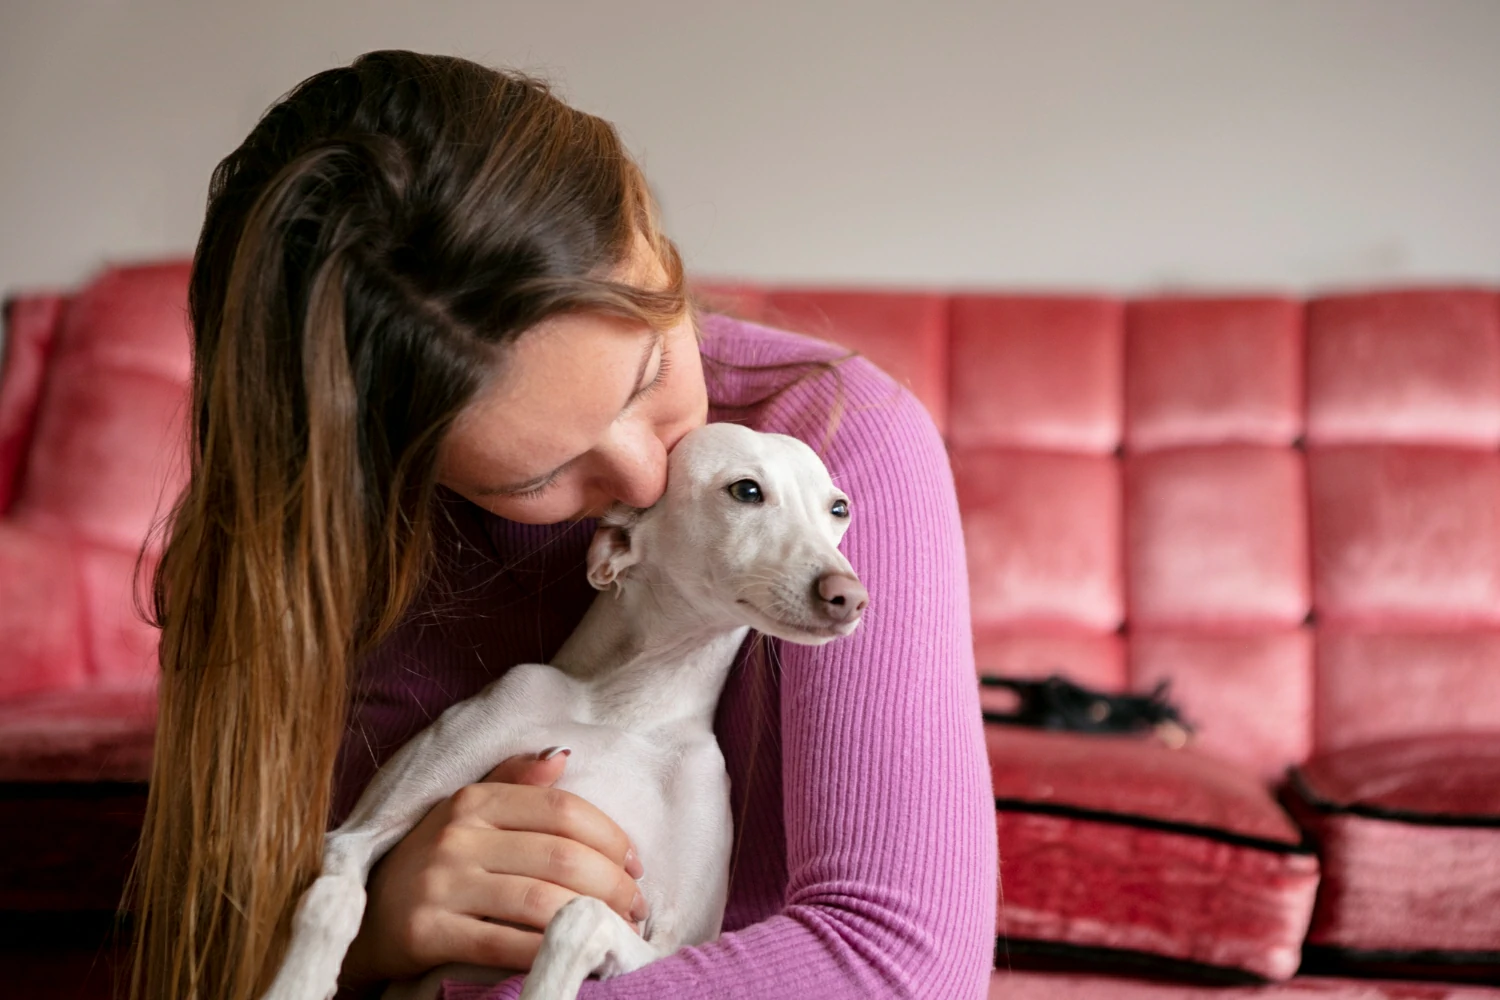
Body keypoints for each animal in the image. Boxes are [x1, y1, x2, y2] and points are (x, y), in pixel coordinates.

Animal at [264, 422, 864, 1000]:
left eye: (839, 508)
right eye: (746, 490)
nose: (850, 597)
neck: (635, 709)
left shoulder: (679, 943)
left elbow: (584, 916)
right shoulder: (358, 832)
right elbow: (333, 894)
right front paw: (299, 982)